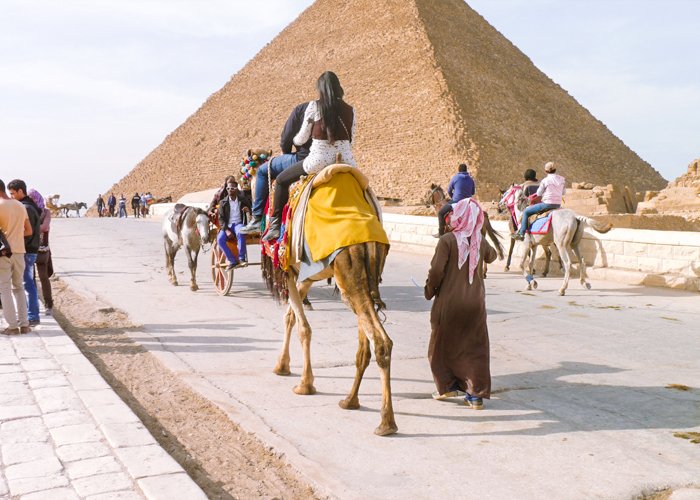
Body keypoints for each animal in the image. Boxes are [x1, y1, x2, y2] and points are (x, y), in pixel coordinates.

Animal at [266, 163, 396, 434]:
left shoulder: (289, 269)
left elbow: (302, 327)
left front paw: (304, 384)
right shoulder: (305, 276)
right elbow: (291, 318)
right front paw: (282, 366)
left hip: (348, 274)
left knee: (380, 341)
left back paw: (385, 422)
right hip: (362, 280)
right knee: (365, 344)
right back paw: (350, 400)